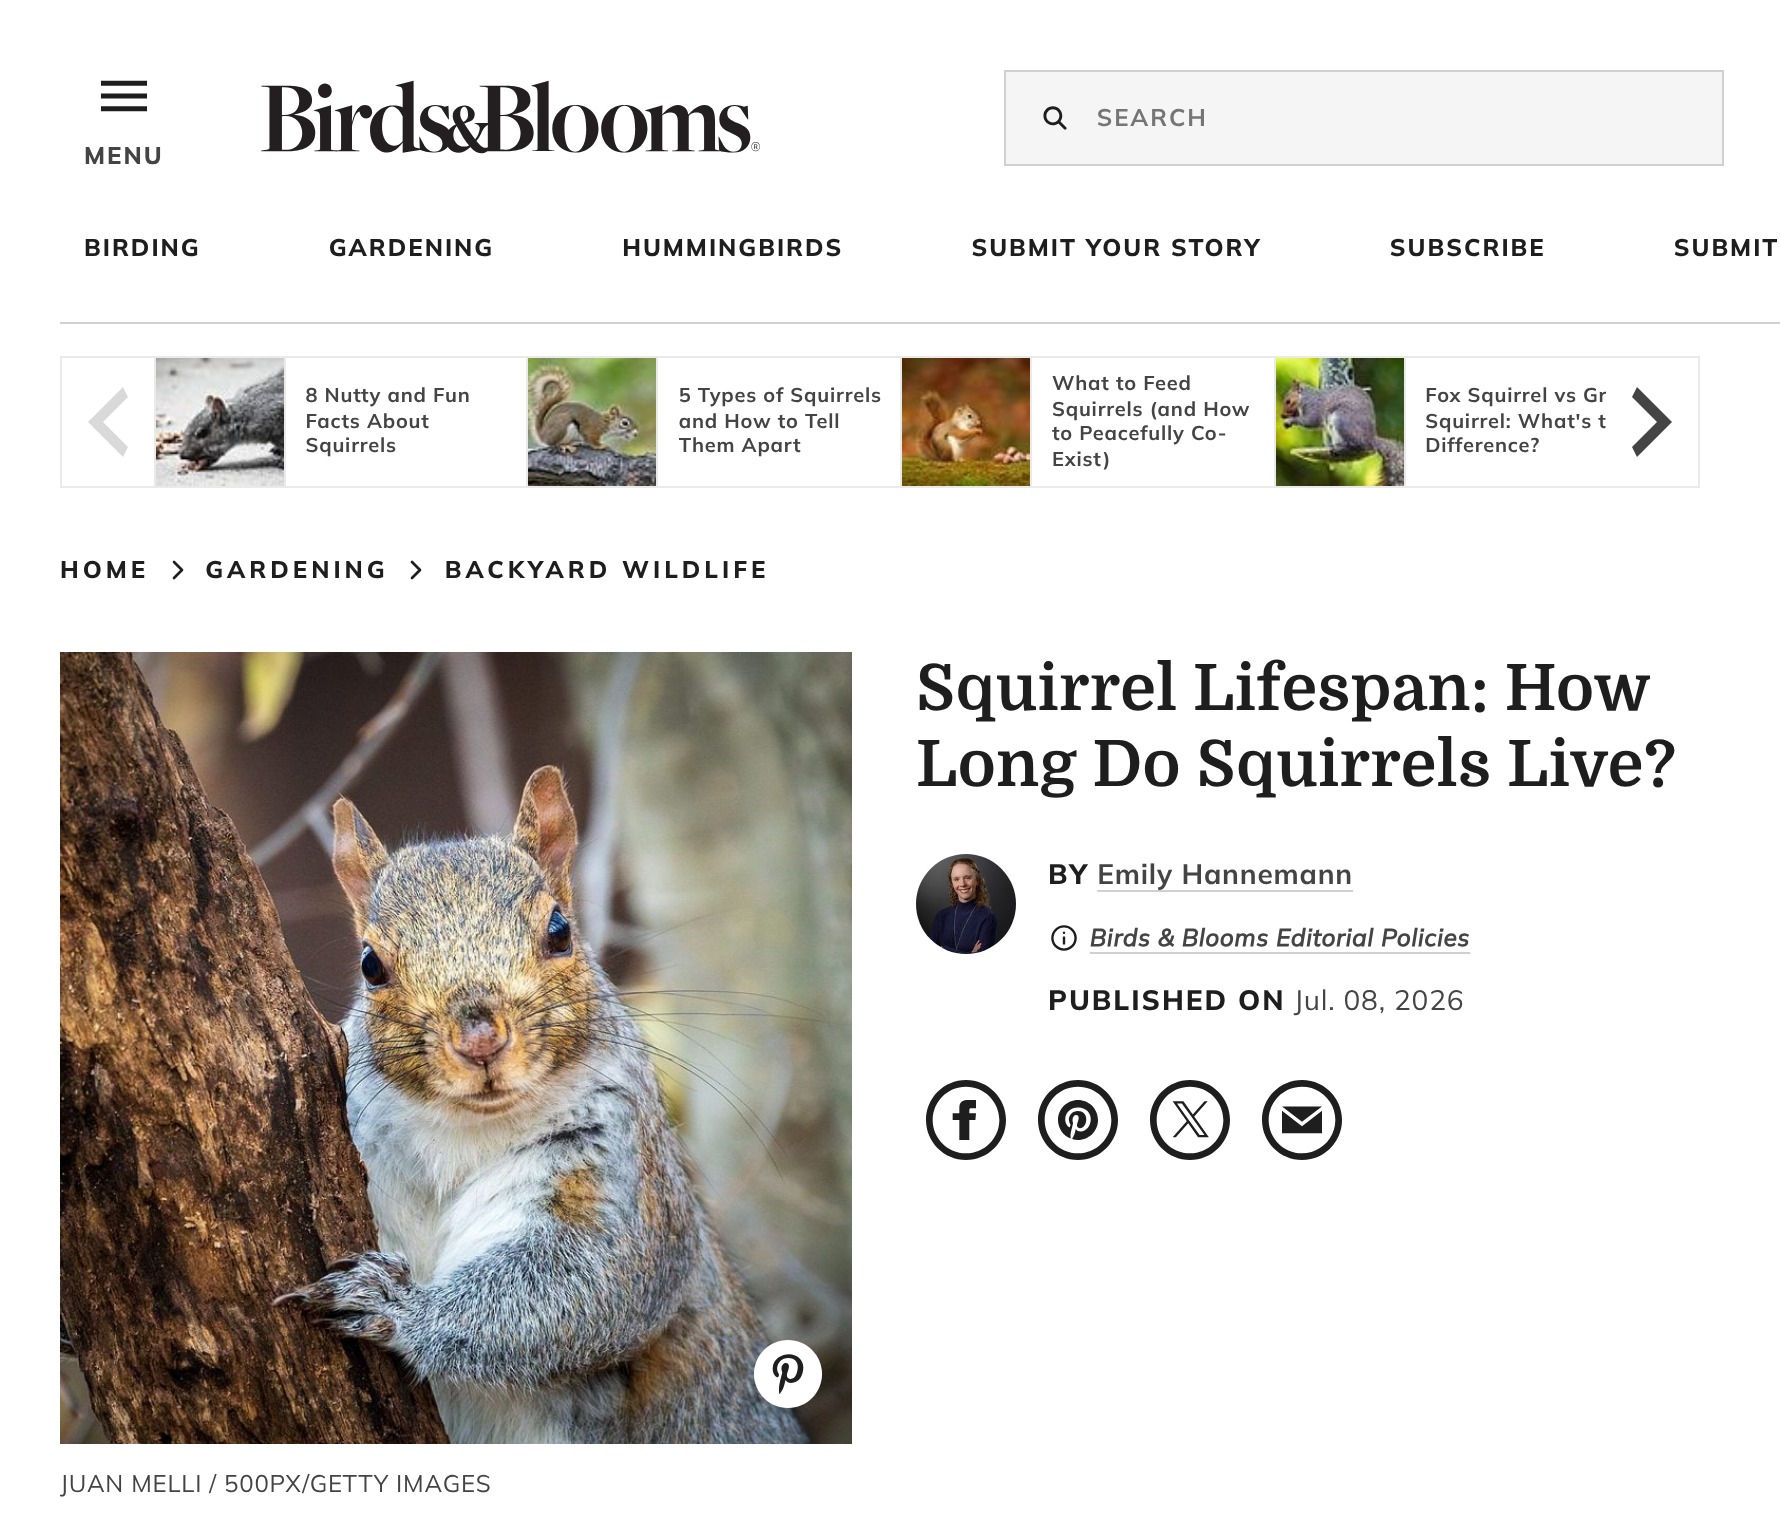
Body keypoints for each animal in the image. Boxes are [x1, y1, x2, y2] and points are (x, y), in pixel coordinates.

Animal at [279, 767, 806, 1444]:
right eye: (371, 965)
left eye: (560, 932)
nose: (479, 1037)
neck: (464, 1130)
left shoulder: (623, 1173)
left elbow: (588, 1288)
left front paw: (396, 1307)